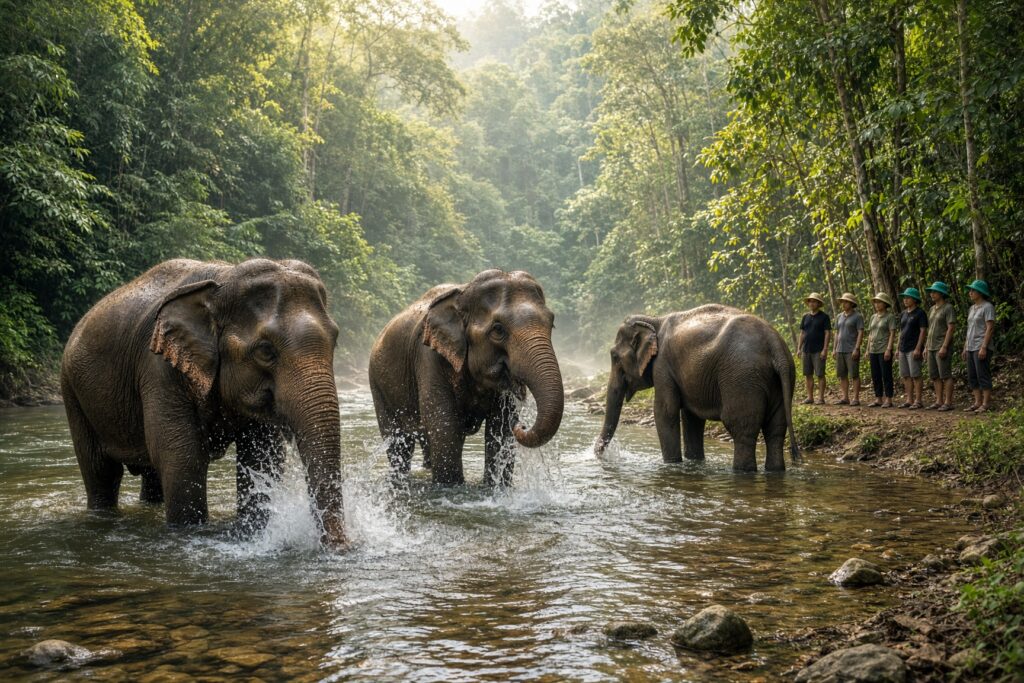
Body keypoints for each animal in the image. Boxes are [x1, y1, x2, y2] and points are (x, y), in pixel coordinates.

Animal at [60, 258, 348, 547]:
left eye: (335, 340)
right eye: (266, 351)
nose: (337, 545)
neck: (223, 279)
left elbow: (262, 456)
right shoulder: (160, 369)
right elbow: (182, 458)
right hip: (72, 392)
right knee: (101, 471)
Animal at [368, 269, 564, 486]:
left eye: (552, 323)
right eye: (498, 329)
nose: (521, 426)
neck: (463, 292)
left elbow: (501, 428)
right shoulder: (428, 356)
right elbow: (444, 427)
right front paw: (450, 486)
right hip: (377, 384)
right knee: (399, 443)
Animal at [594, 305, 799, 472]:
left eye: (614, 357)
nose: (599, 455)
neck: (654, 320)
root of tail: (775, 343)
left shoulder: (663, 365)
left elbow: (665, 411)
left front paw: (671, 464)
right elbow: (691, 417)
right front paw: (694, 462)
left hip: (742, 378)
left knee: (741, 428)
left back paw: (742, 472)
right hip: (780, 379)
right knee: (775, 430)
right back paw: (775, 471)